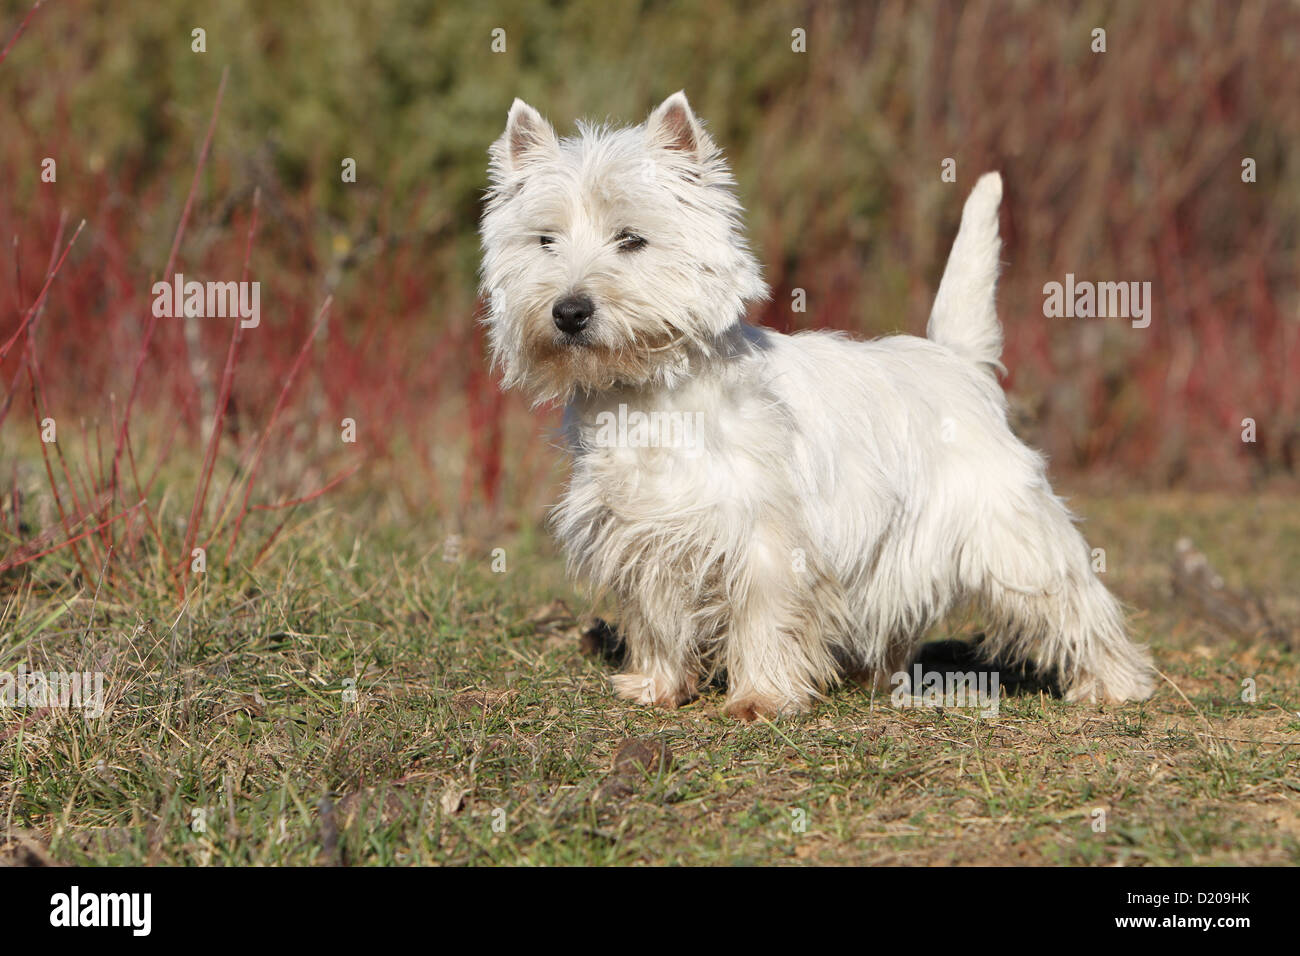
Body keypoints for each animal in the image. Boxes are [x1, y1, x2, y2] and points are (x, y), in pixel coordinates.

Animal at [480, 91, 1159, 717]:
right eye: (545, 241)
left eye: (632, 239)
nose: (569, 311)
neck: (647, 391)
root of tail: (958, 362)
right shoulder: (639, 531)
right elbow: (655, 613)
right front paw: (656, 685)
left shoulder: (766, 535)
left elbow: (763, 613)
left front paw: (760, 697)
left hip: (1012, 532)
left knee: (1075, 603)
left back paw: (1115, 685)